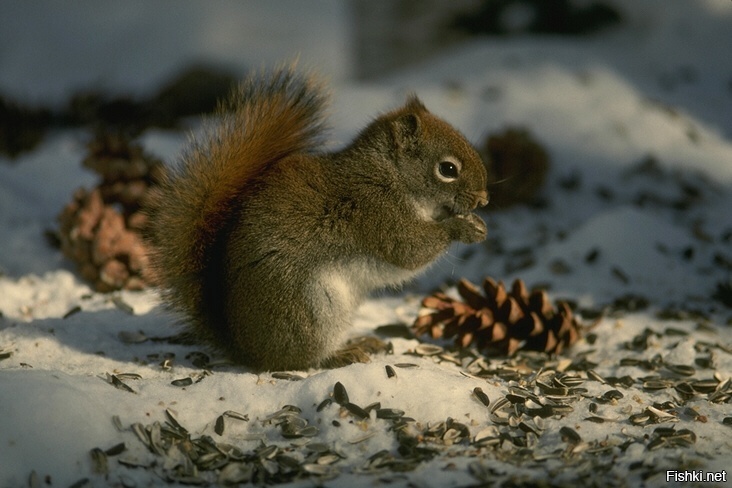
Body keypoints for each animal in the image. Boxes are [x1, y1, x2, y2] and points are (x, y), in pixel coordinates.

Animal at [144, 65, 488, 370]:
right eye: (447, 169)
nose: (484, 199)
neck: (390, 176)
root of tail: (244, 348)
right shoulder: (376, 212)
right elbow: (410, 249)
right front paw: (463, 227)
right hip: (308, 309)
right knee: (300, 359)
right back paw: (341, 354)